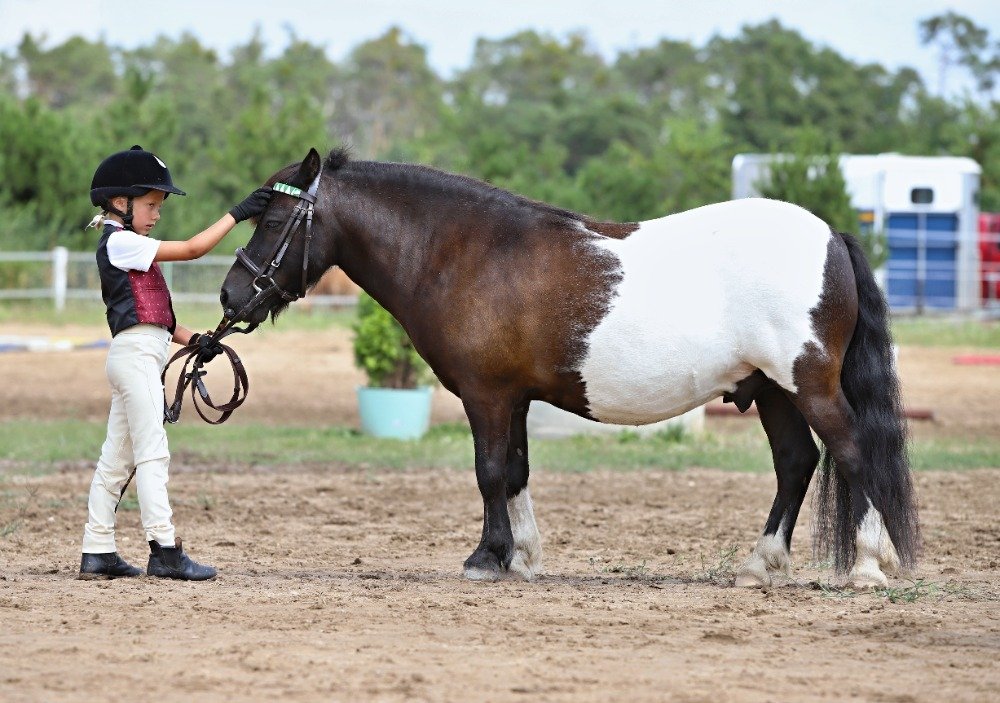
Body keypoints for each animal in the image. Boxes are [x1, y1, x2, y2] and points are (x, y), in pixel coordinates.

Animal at [221, 148, 920, 588]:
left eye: (275, 219)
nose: (231, 295)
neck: (468, 252)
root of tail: (831, 236)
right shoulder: (515, 397)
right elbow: (516, 473)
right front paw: (523, 558)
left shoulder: (487, 395)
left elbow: (489, 472)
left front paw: (486, 557)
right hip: (772, 390)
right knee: (796, 464)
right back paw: (760, 566)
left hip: (809, 384)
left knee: (852, 453)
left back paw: (865, 565)